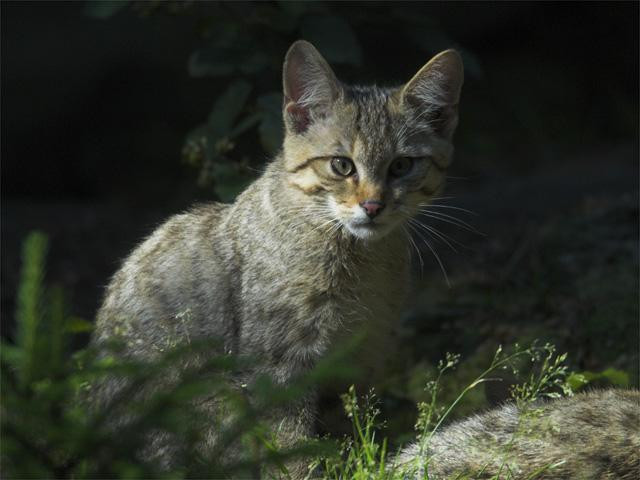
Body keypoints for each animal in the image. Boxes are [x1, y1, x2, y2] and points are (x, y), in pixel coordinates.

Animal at [91, 39, 464, 474]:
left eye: (402, 165)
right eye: (342, 165)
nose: (373, 205)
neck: (359, 260)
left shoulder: (358, 362)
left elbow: (350, 432)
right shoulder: (280, 368)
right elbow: (290, 447)